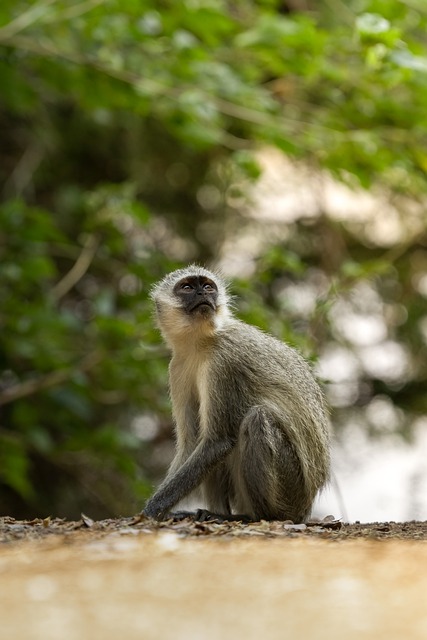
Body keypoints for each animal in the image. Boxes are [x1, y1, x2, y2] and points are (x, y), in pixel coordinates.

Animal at [143, 265, 330, 523]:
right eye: (188, 287)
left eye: (208, 286)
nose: (202, 294)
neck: (201, 342)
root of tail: (305, 508)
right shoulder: (177, 368)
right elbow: (193, 443)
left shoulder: (224, 361)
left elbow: (217, 442)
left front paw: (151, 510)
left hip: (292, 490)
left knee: (256, 418)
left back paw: (253, 517)